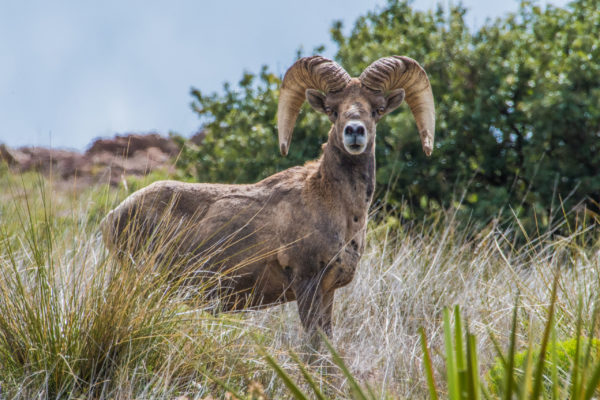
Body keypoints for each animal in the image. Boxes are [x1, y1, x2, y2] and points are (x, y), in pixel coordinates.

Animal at [101, 55, 434, 340]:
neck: (339, 209)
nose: (354, 131)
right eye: (333, 110)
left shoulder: (328, 292)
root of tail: (112, 218)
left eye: (377, 110)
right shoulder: (307, 283)